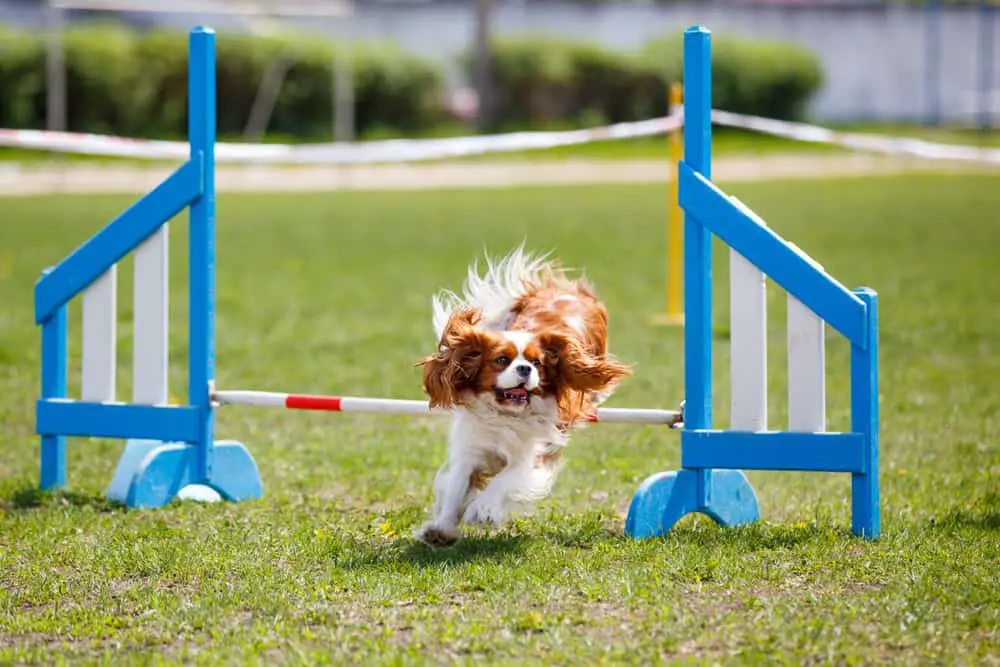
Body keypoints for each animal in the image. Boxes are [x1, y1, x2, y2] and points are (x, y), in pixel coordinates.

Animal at [412, 248, 628, 544]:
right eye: (502, 360)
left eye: (537, 363)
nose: (525, 368)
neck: (505, 415)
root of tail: (565, 289)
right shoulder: (471, 447)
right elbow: (456, 488)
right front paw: (442, 529)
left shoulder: (534, 454)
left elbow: (506, 479)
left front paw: (483, 508)